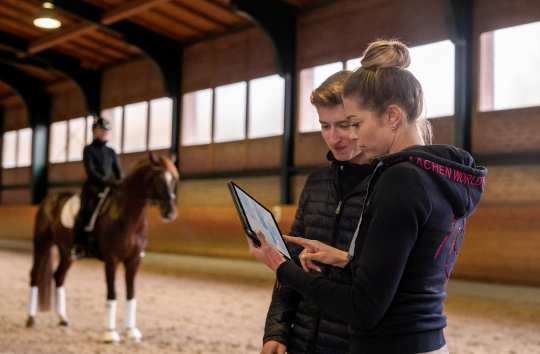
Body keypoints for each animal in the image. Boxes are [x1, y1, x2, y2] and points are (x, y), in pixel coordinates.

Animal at [25, 152, 179, 342]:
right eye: (157, 178)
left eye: (174, 180)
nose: (170, 213)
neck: (127, 216)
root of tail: (48, 200)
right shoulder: (112, 260)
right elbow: (112, 294)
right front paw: (110, 334)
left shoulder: (134, 261)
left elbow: (131, 294)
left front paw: (131, 331)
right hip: (42, 244)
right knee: (35, 276)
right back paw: (31, 319)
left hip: (67, 252)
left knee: (59, 276)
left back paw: (63, 319)